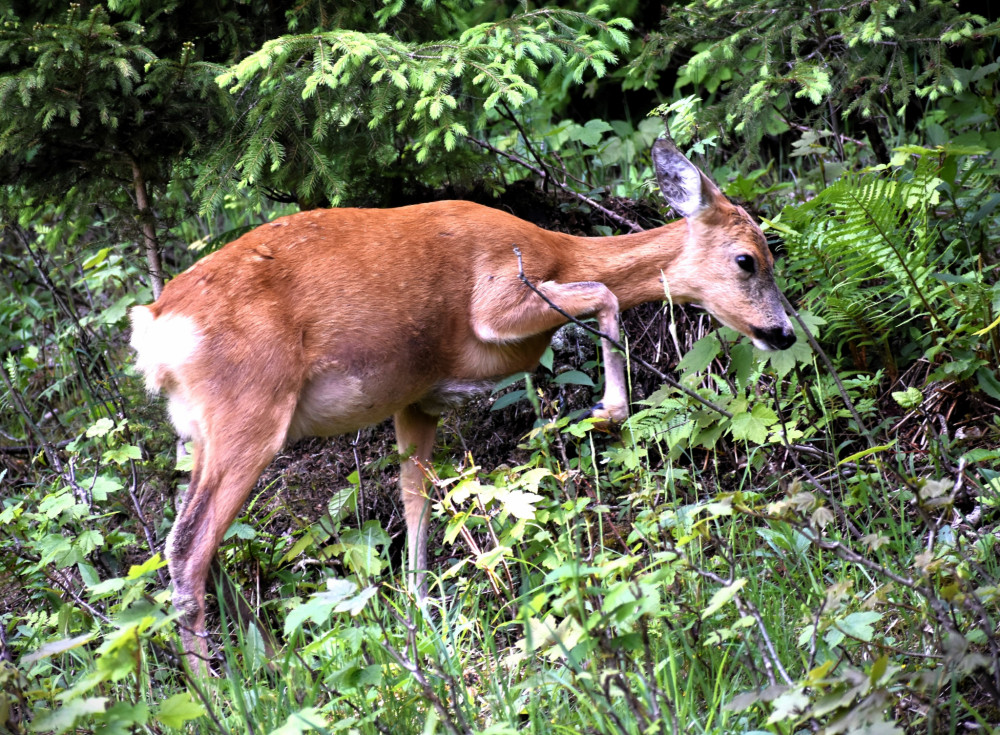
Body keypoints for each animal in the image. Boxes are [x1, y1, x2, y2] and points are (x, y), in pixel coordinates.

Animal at [129, 137, 796, 668]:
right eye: (747, 260)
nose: (784, 332)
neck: (557, 249)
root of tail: (155, 325)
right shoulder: (498, 300)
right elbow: (604, 295)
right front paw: (607, 412)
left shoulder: (418, 399)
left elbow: (416, 504)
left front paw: (421, 620)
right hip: (249, 409)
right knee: (187, 546)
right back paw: (220, 689)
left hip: (198, 431)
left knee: (192, 540)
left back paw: (269, 662)